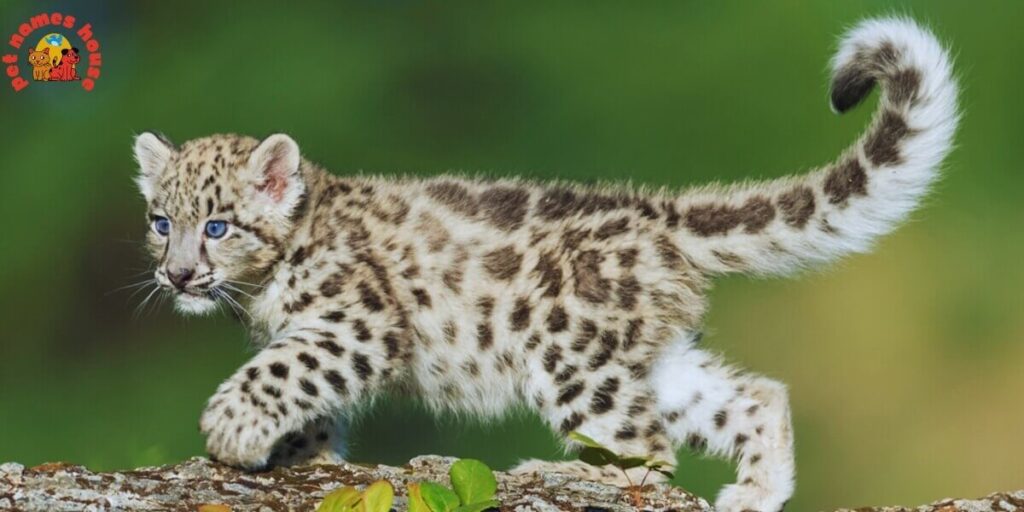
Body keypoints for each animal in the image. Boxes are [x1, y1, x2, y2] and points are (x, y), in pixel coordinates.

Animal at [132, 18, 957, 512]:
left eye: (217, 226)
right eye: (161, 222)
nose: (177, 275)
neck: (262, 291)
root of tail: (656, 213)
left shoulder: (354, 323)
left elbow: (283, 369)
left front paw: (231, 428)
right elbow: (308, 398)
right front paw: (299, 454)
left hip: (571, 360)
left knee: (647, 449)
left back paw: (566, 475)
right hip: (645, 359)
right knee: (754, 397)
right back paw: (754, 493)